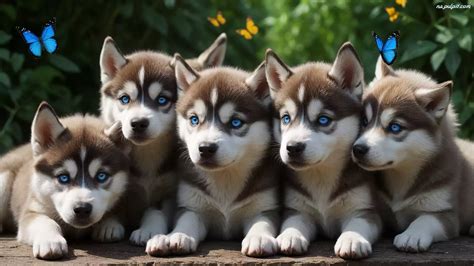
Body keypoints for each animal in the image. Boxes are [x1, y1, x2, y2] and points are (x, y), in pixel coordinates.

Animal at [0, 101, 130, 258]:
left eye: (101, 176)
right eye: (63, 177)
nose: (82, 209)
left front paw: (109, 225)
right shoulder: (32, 210)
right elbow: (46, 222)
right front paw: (50, 240)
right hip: (4, 180)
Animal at [96, 33, 228, 245]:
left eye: (162, 100)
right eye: (125, 99)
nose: (138, 123)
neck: (147, 154)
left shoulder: (169, 192)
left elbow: (155, 212)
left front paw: (149, 230)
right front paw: (109, 224)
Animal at [144, 55, 278, 256]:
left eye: (236, 122)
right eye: (194, 119)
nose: (206, 148)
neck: (225, 178)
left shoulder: (264, 206)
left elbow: (262, 223)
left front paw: (259, 237)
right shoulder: (192, 206)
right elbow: (186, 221)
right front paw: (178, 235)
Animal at [266, 43, 382, 258]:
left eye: (323, 120)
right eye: (286, 118)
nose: (293, 148)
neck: (321, 176)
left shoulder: (365, 210)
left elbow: (358, 224)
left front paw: (352, 239)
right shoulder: (298, 208)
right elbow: (293, 222)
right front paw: (290, 235)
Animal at [352, 57, 474, 251]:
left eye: (395, 127)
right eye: (364, 121)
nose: (358, 149)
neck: (401, 176)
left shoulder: (445, 213)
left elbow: (425, 219)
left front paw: (412, 235)